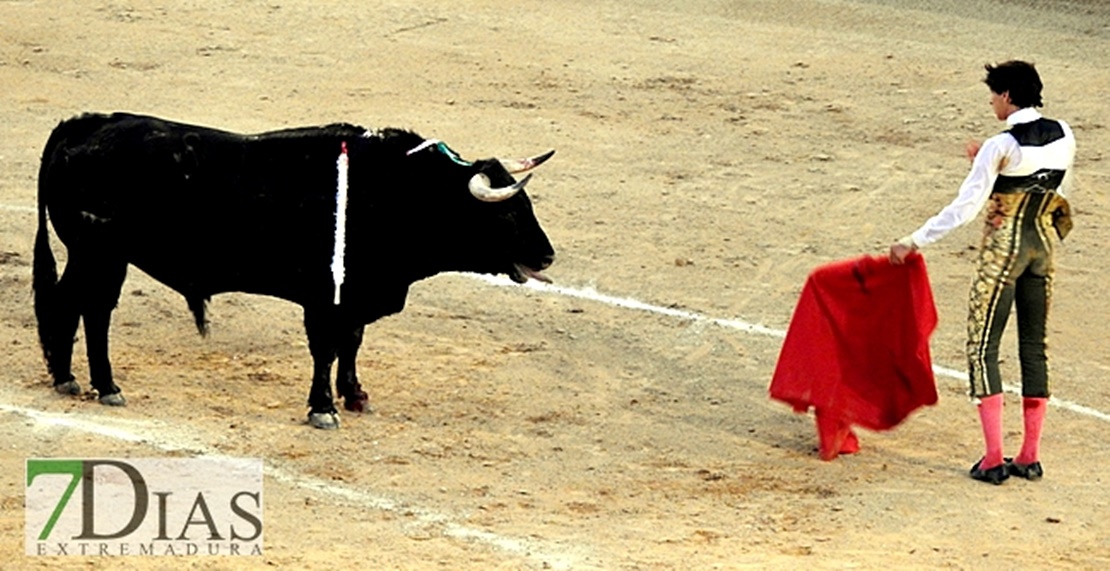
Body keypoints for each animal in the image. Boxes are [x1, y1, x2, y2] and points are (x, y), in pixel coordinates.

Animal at [33, 112, 555, 426]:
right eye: (508, 213)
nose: (548, 257)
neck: (395, 191)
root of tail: (85, 125)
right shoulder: (324, 297)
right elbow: (326, 348)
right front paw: (323, 409)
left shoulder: (355, 296)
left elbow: (352, 342)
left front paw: (355, 395)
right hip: (96, 252)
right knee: (80, 306)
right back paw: (88, 382)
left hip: (104, 257)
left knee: (90, 310)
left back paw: (87, 381)